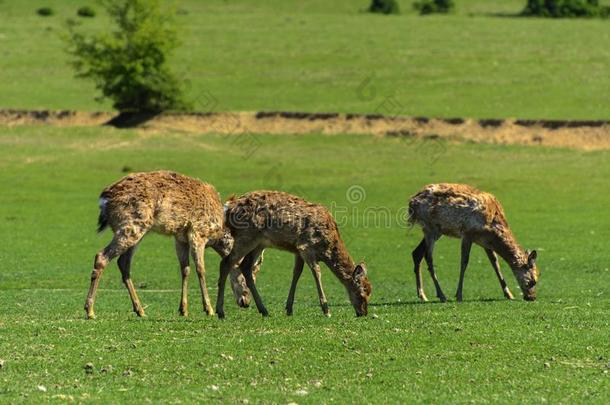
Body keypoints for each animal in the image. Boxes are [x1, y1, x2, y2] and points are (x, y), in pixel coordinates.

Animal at [83, 170, 258, 318]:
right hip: (131, 226)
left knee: (123, 263)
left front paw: (183, 309)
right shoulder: (197, 233)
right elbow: (201, 269)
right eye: (247, 274)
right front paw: (209, 309)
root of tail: (103, 200)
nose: (246, 302)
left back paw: (140, 310)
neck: (217, 230)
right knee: (101, 256)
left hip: (135, 231)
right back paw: (90, 311)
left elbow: (185, 269)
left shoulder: (180, 238)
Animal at [214, 189, 370, 318]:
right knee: (226, 262)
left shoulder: (297, 251)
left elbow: (296, 273)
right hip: (246, 236)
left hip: (259, 243)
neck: (327, 246)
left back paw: (263, 310)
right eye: (362, 293)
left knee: (245, 266)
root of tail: (228, 208)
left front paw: (289, 309)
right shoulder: (306, 246)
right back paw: (220, 311)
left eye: (370, 292)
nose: (363, 313)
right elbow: (317, 272)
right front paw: (326, 310)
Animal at [408, 185, 536, 302]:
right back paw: (442, 296)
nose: (532, 297)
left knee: (417, 253)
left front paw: (509, 294)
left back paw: (422, 295)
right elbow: (464, 262)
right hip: (430, 227)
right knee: (428, 257)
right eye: (533, 281)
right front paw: (459, 295)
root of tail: (411, 203)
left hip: (436, 231)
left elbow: (495, 263)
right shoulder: (468, 233)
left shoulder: (485, 242)